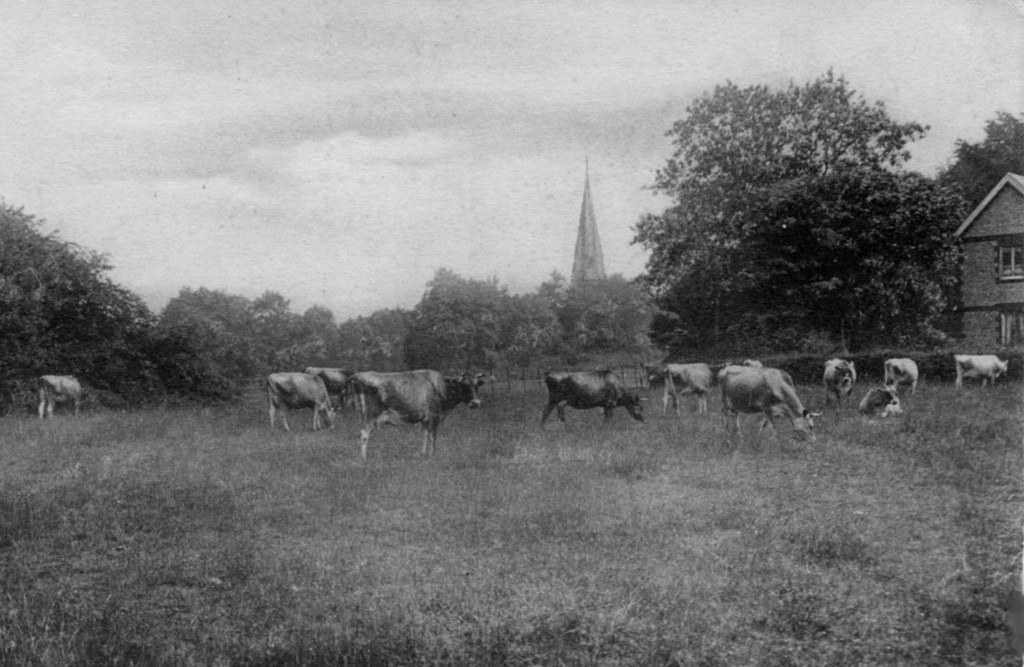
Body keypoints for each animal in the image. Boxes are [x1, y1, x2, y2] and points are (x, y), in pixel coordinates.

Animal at [346, 370, 485, 459]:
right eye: (464, 385)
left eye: (477, 385)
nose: (476, 403)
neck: (441, 387)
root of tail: (359, 375)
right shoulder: (434, 416)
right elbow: (433, 437)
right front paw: (433, 456)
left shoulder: (425, 419)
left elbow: (425, 435)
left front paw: (423, 454)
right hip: (371, 414)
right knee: (364, 434)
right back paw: (364, 459)